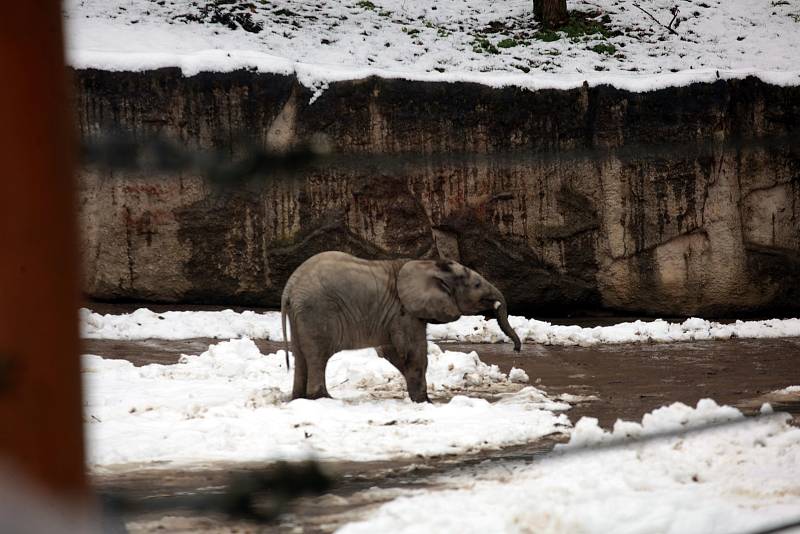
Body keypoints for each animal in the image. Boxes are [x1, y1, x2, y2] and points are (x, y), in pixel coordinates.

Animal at [282, 253, 524, 404]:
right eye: (476, 285)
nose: (516, 350)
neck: (426, 263)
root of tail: (290, 287)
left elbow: (392, 351)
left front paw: (422, 400)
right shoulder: (404, 310)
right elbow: (413, 352)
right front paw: (425, 402)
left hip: (301, 314)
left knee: (300, 355)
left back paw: (300, 399)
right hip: (316, 311)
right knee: (318, 356)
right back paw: (323, 399)